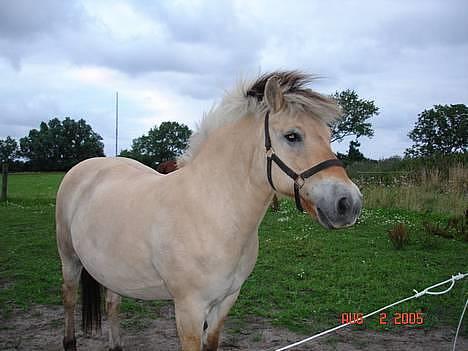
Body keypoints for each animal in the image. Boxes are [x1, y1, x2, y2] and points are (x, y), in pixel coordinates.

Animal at [55, 70, 362, 350]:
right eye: (292, 136)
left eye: (328, 136)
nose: (349, 203)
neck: (212, 212)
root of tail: (88, 166)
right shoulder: (189, 308)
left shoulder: (225, 301)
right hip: (69, 259)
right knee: (69, 298)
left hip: (112, 271)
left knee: (112, 303)